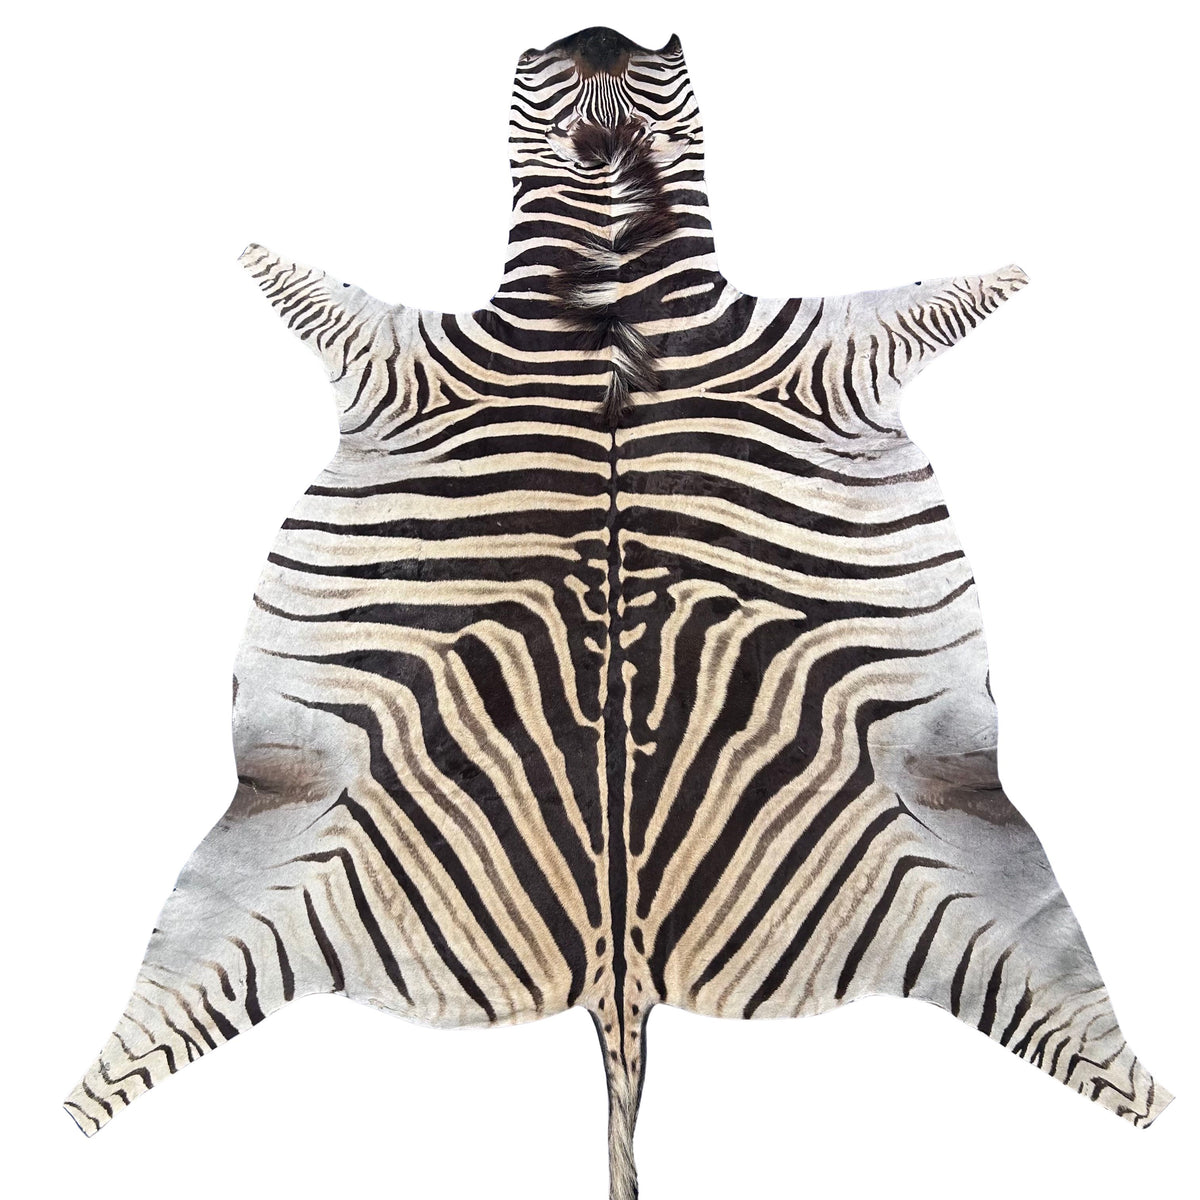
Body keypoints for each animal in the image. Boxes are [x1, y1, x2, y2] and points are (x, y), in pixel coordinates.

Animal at [65, 25, 1170, 1199]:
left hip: (950, 838)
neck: (614, 273)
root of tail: (618, 974)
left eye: (656, 63)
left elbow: (941, 296)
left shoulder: (824, 346)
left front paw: (1007, 273)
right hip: (288, 838)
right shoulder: (411, 355)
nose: (599, 33)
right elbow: (313, 288)